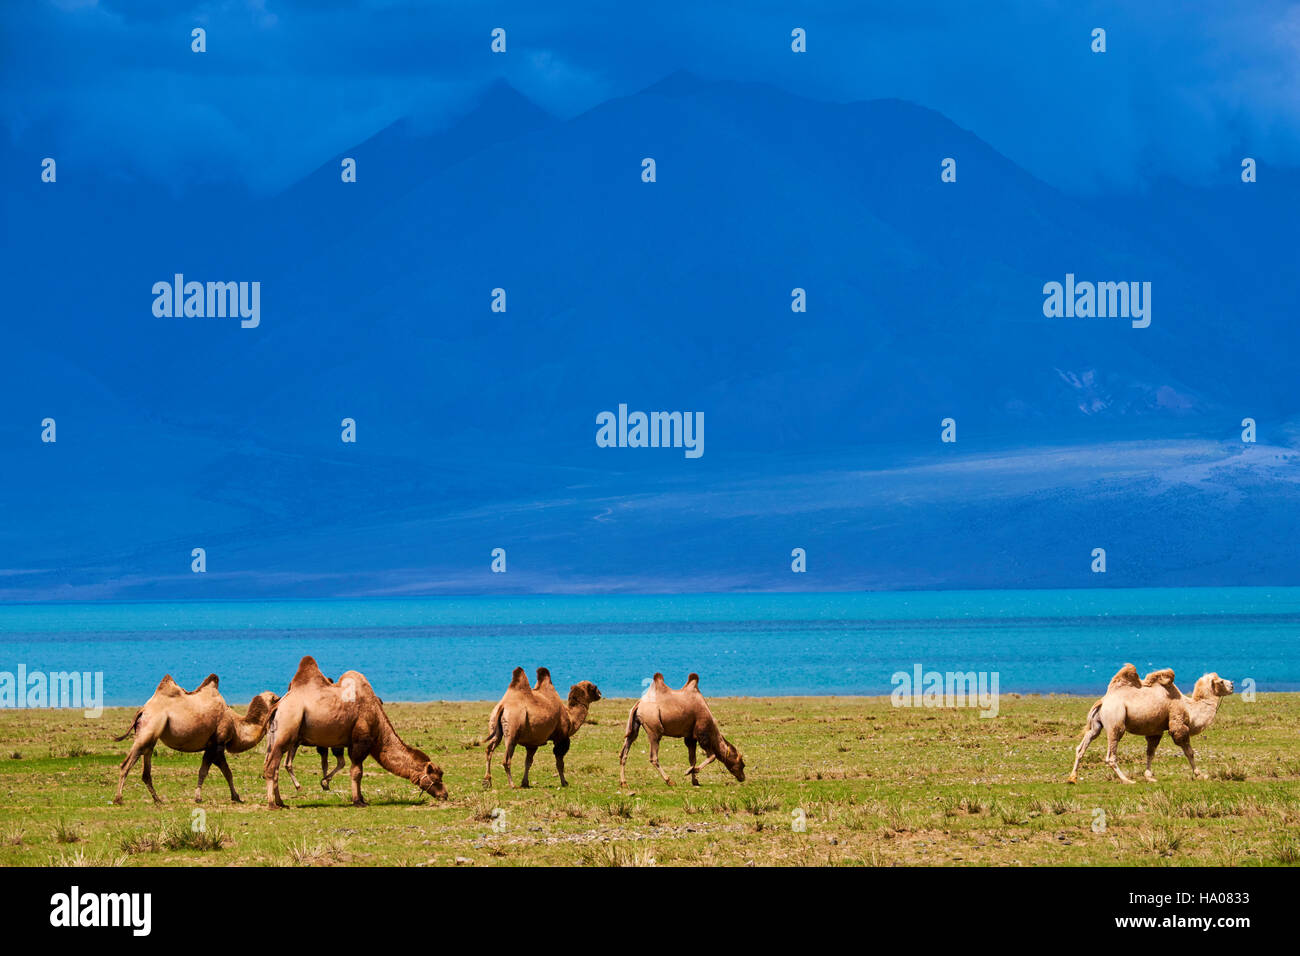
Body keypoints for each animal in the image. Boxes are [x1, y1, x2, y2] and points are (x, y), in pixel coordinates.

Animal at [109, 671, 279, 806]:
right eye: (276, 698)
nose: (282, 699)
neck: (236, 725)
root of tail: (143, 710)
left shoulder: (212, 746)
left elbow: (216, 771)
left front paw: (232, 796)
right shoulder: (217, 743)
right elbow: (217, 771)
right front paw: (203, 797)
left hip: (150, 737)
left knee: (146, 770)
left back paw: (158, 799)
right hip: (149, 729)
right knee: (126, 764)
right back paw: (118, 799)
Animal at [261, 658, 449, 806]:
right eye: (436, 778)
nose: (445, 794)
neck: (378, 722)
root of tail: (278, 706)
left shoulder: (351, 743)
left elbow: (353, 769)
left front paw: (359, 797)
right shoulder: (361, 741)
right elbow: (357, 772)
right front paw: (358, 801)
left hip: (275, 736)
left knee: (273, 766)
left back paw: (282, 802)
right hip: (287, 727)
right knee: (271, 767)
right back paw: (272, 804)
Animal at [1066, 665, 1237, 785]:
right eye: (1220, 681)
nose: (1232, 684)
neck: (1189, 708)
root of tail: (1102, 701)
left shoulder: (1155, 730)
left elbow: (1150, 752)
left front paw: (1149, 777)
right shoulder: (1178, 724)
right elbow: (1189, 751)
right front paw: (1200, 774)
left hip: (1096, 725)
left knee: (1082, 746)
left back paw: (1072, 778)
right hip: (1115, 721)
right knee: (1111, 754)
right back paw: (1127, 780)